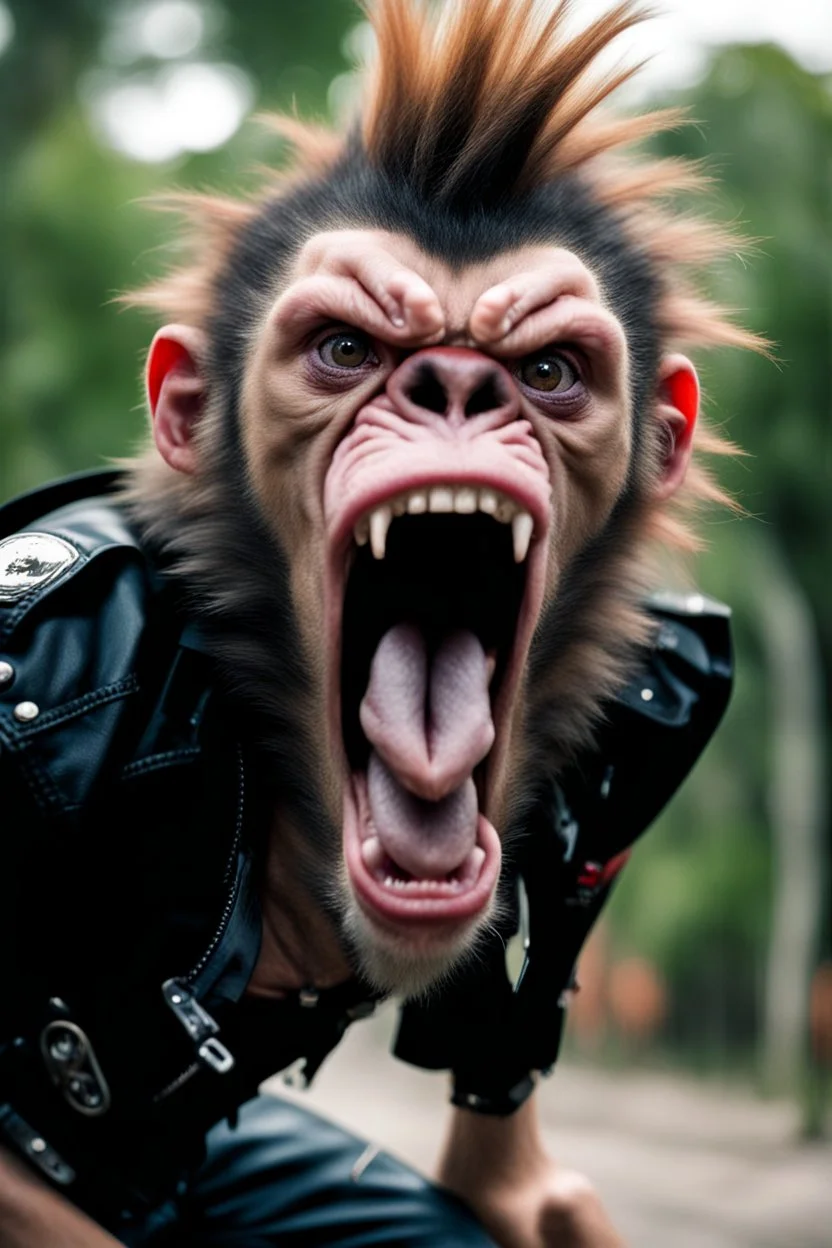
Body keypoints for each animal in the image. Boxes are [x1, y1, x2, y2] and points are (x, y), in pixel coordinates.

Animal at [0, 1, 761, 1245]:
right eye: (347, 350)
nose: (457, 385)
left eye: (549, 369)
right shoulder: (45, 667)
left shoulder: (661, 717)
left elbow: (505, 1067)